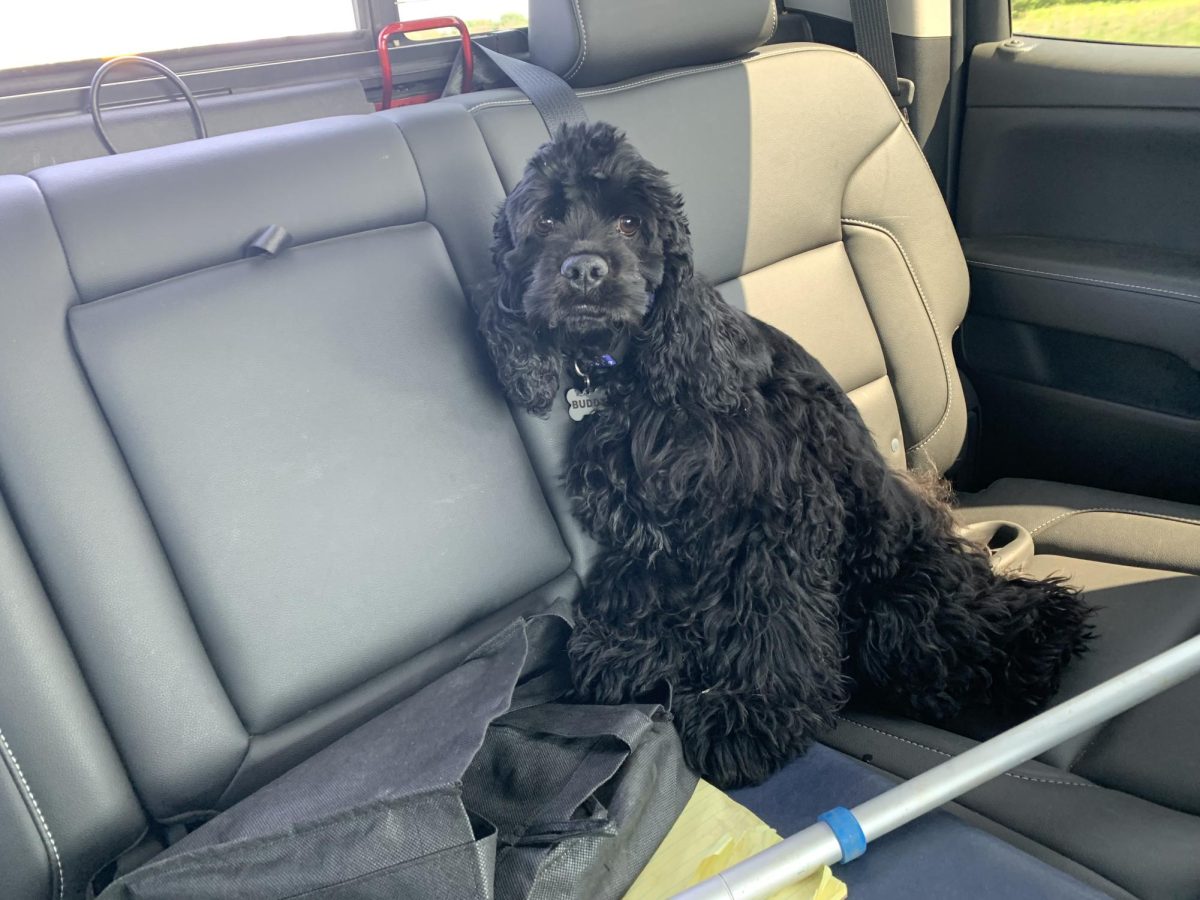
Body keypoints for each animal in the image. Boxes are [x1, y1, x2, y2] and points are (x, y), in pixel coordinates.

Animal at [475, 121, 1089, 787]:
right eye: (545, 221)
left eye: (630, 223)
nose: (584, 269)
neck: (639, 374)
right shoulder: (647, 518)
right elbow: (644, 582)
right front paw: (628, 652)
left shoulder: (775, 514)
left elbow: (773, 617)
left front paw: (751, 713)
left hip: (903, 593)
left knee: (965, 626)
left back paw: (1041, 639)